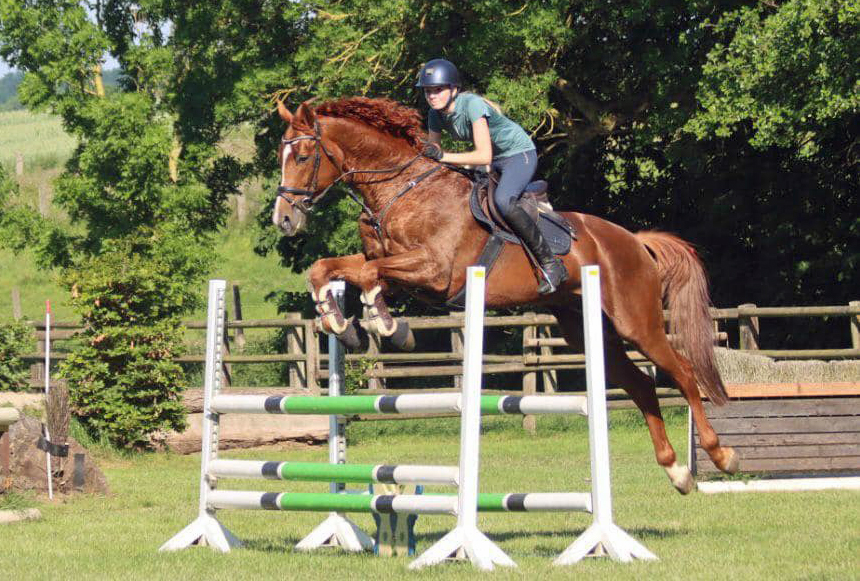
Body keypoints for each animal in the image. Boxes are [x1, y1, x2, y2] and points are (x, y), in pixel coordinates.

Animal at [270, 96, 740, 494]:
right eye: (281, 156)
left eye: (304, 156)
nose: (284, 219)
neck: (401, 188)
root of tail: (635, 241)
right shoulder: (396, 266)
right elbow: (327, 269)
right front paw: (342, 324)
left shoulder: (436, 272)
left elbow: (369, 277)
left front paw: (385, 325)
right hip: (584, 327)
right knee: (641, 384)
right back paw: (676, 471)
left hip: (635, 321)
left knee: (683, 372)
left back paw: (721, 455)